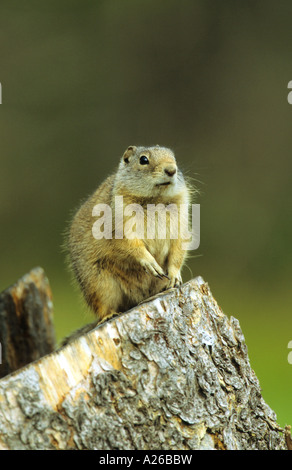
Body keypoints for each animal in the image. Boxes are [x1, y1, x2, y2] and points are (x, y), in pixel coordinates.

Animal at [68, 145, 192, 328]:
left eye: (173, 157)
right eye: (143, 160)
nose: (171, 169)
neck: (155, 199)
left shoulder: (180, 225)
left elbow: (177, 252)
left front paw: (175, 277)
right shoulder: (118, 228)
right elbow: (130, 246)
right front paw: (150, 264)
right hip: (98, 283)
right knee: (102, 305)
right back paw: (109, 316)